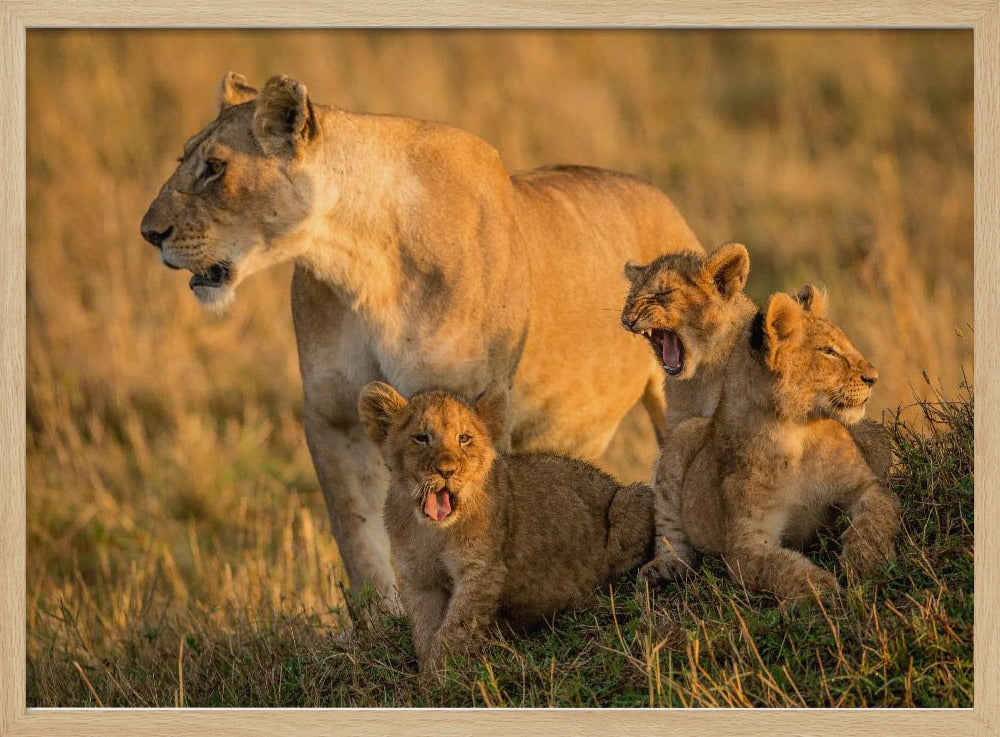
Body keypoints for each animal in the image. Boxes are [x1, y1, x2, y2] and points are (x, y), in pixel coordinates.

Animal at [139, 72, 703, 597]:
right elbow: (359, 536)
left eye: (215, 167)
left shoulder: (473, 408)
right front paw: (380, 622)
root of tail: (664, 200)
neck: (361, 264)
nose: (149, 233)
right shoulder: (332, 414)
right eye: (185, 158)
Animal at [357, 381, 653, 671]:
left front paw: (441, 675)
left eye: (464, 438)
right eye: (421, 437)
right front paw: (428, 675)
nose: (447, 470)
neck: (433, 532)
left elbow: (454, 630)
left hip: (634, 498)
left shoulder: (481, 571)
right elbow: (425, 631)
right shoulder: (419, 579)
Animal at [638, 288, 901, 600]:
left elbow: (875, 518)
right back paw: (663, 569)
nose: (874, 377)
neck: (797, 433)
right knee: (669, 531)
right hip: (682, 435)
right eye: (828, 351)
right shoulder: (747, 544)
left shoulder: (866, 487)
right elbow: (782, 568)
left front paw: (864, 562)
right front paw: (824, 590)